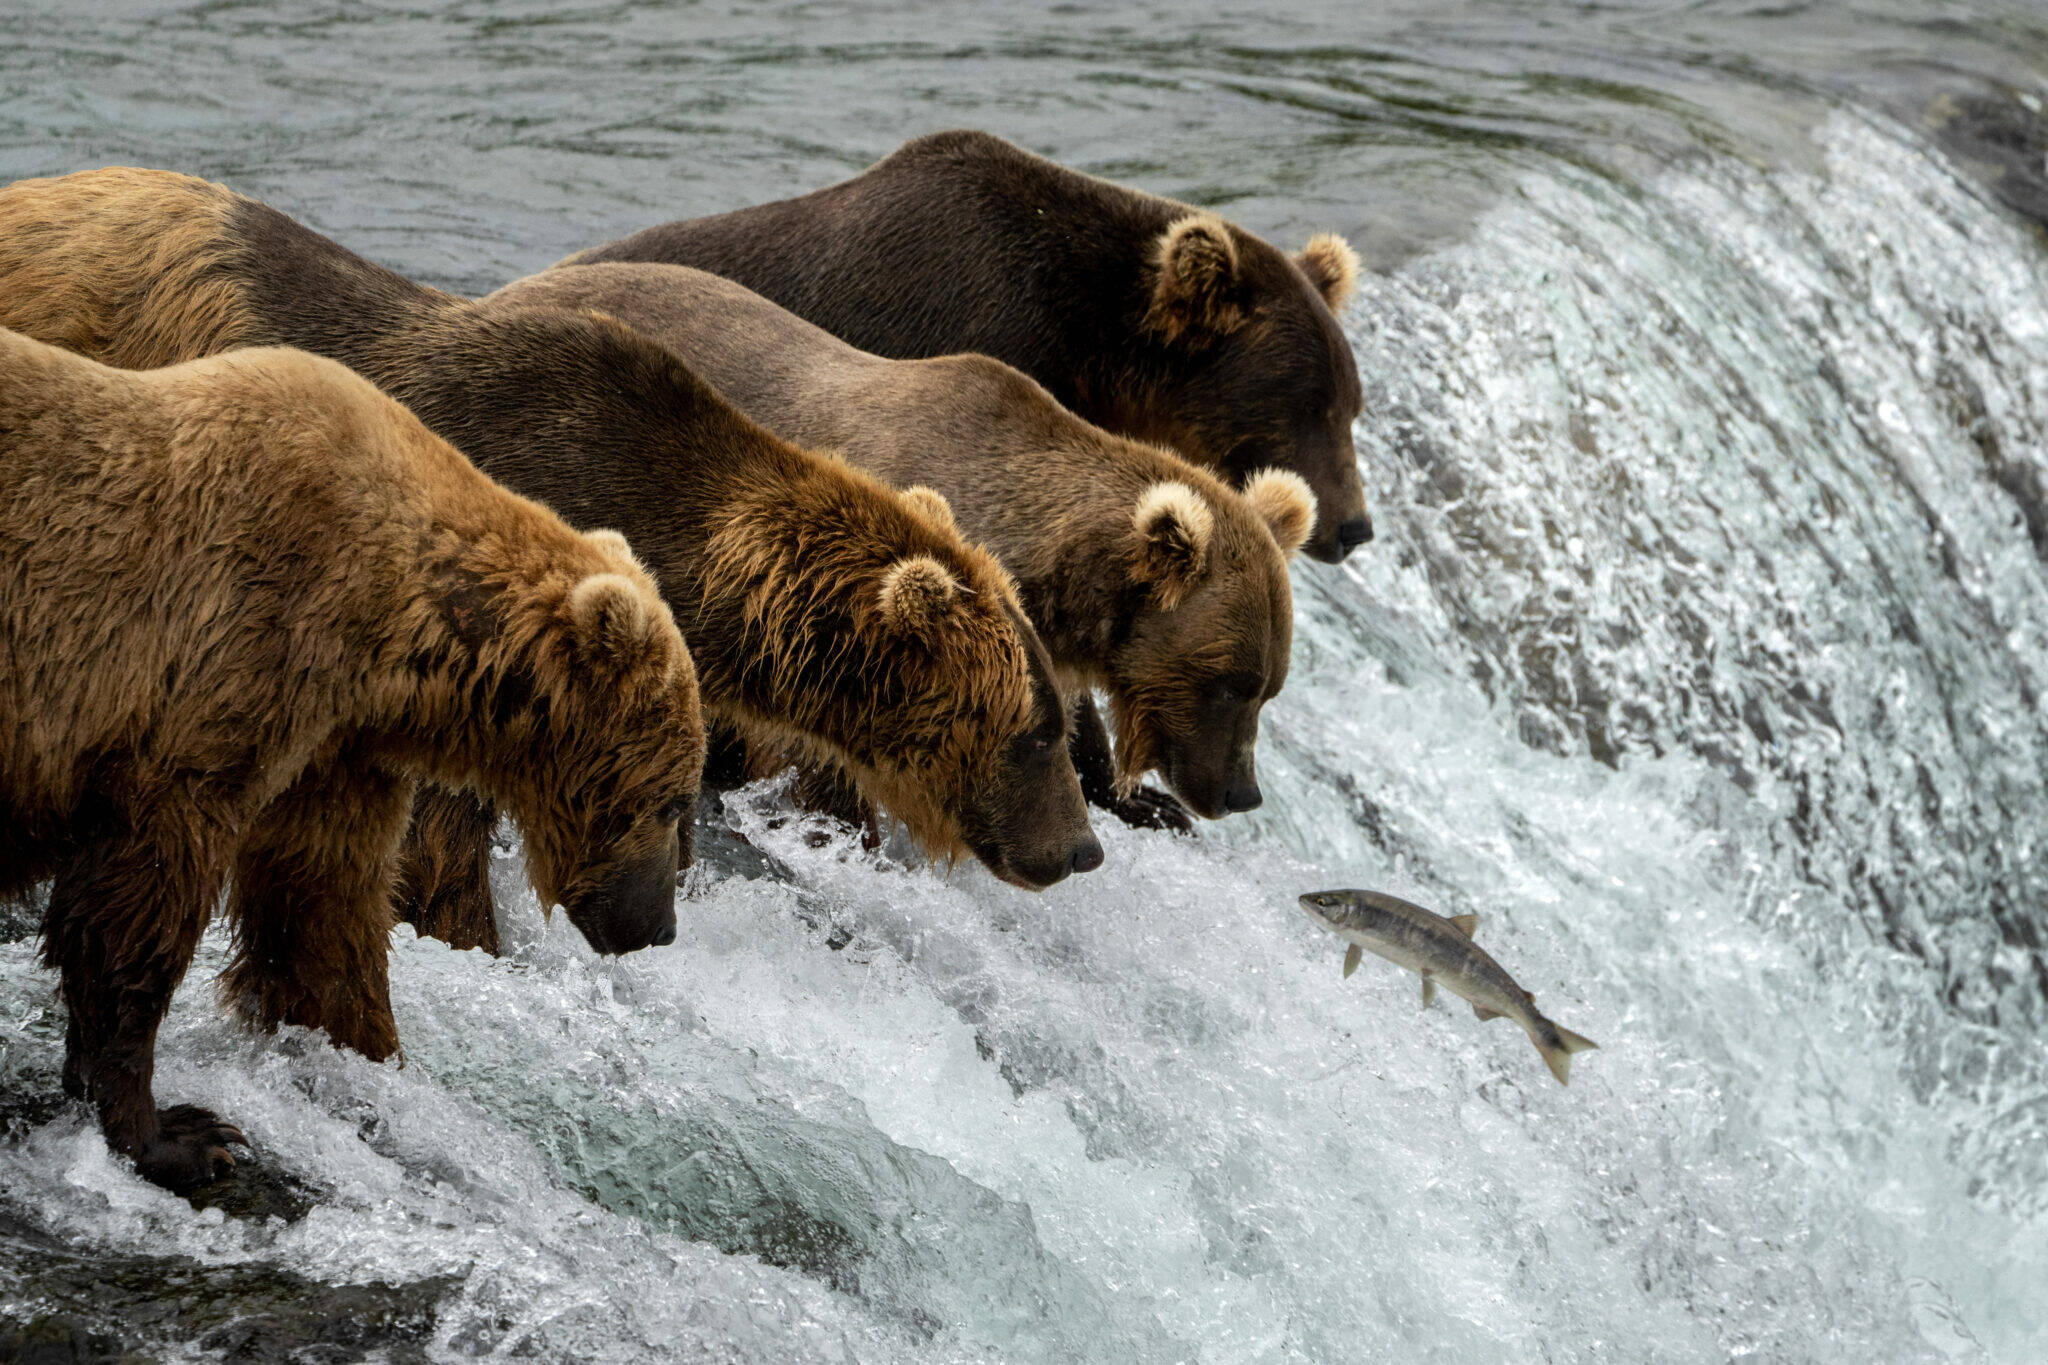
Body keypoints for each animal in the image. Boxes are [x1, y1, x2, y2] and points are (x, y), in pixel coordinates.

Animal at [0, 325, 704, 1186]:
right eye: (673, 800)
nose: (661, 926)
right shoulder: (214, 662)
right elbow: (140, 899)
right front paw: (177, 1130)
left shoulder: (337, 741)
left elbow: (323, 903)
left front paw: (369, 1055)